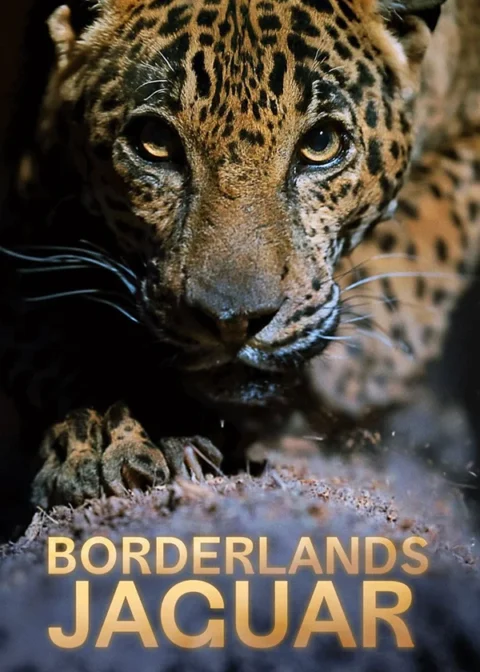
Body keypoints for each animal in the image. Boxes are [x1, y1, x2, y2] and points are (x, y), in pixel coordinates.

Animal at [2, 0, 480, 514]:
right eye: (154, 141)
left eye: (321, 143)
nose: (233, 321)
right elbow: (56, 326)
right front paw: (110, 433)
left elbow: (424, 226)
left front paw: (362, 363)